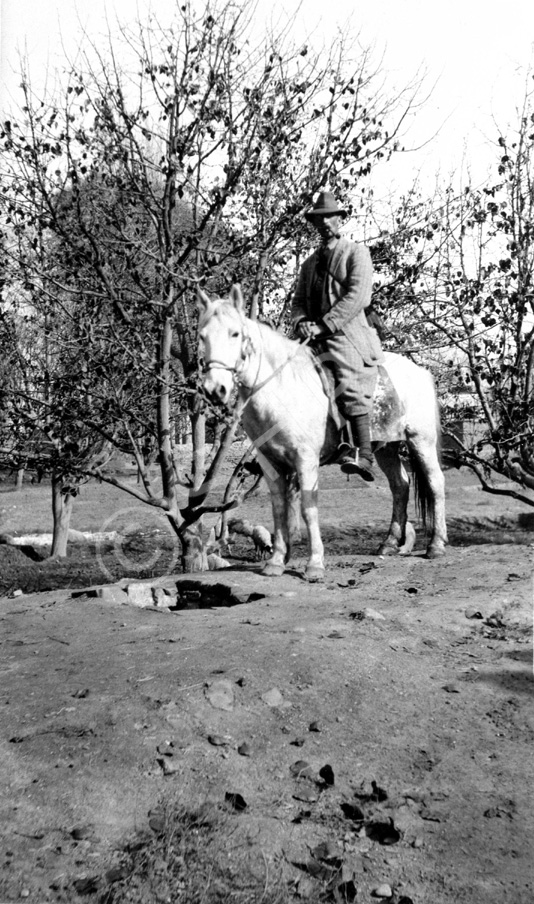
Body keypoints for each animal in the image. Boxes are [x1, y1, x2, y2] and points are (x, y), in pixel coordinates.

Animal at [199, 284, 446, 580]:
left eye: (235, 333)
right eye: (202, 336)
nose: (215, 389)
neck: (282, 387)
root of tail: (421, 371)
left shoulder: (305, 460)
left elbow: (308, 508)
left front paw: (314, 564)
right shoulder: (270, 463)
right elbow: (280, 508)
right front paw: (277, 561)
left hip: (421, 441)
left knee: (435, 482)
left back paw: (436, 545)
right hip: (386, 447)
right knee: (400, 485)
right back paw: (388, 543)